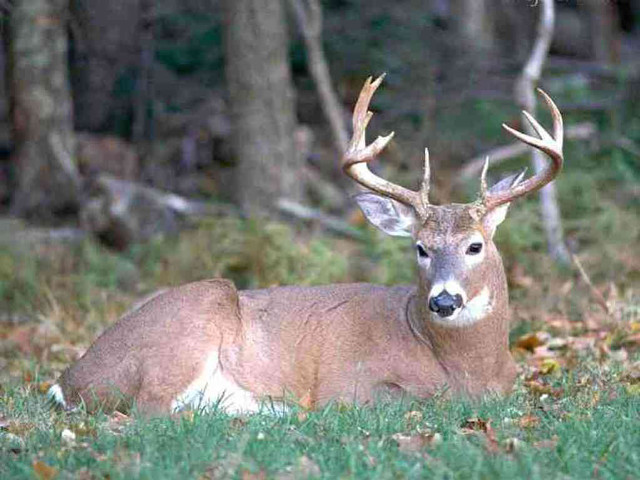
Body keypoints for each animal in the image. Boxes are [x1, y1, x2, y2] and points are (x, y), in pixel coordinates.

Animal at [48, 75, 564, 416]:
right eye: (420, 247)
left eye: (475, 245)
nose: (443, 301)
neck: (469, 368)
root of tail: (67, 381)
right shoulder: (351, 383)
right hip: (194, 316)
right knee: (148, 411)